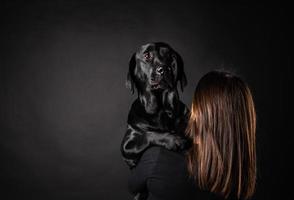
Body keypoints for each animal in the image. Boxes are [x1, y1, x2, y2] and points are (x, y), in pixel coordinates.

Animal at [120, 41, 189, 169]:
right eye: (147, 56)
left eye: (169, 55)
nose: (165, 69)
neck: (161, 109)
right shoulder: (127, 145)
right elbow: (147, 135)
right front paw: (173, 139)